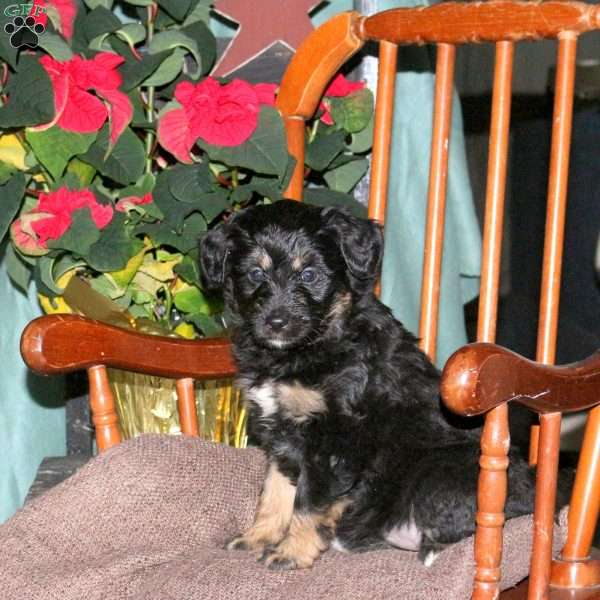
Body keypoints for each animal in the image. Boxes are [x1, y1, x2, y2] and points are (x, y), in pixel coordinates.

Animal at [200, 200, 552, 572]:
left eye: (309, 275)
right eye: (255, 274)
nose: (275, 322)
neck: (308, 348)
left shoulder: (332, 441)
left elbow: (308, 502)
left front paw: (291, 552)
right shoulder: (282, 435)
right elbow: (275, 491)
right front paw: (258, 536)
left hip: (438, 471)